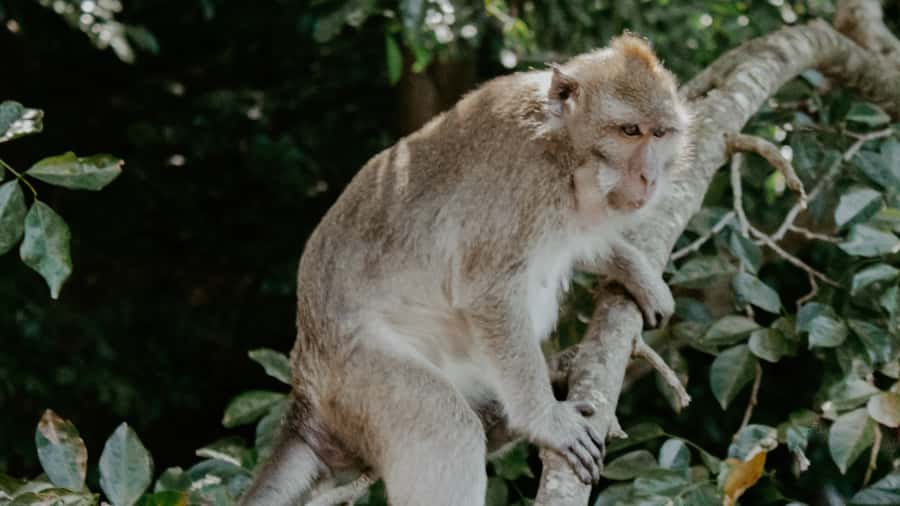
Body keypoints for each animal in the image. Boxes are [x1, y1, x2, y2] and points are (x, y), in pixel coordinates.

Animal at [238, 33, 690, 506]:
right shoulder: (521, 184)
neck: (564, 151)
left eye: (660, 133)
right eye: (629, 131)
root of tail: (304, 388)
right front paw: (546, 420)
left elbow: (579, 242)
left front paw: (637, 273)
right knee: (445, 428)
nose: (649, 177)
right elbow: (489, 293)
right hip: (356, 375)